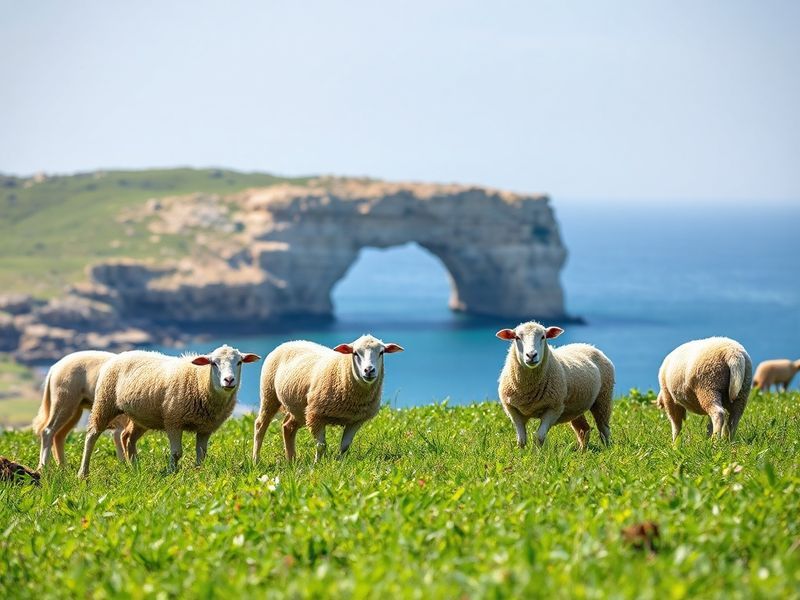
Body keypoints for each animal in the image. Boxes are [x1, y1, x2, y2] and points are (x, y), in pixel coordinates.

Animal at [77, 345, 260, 477]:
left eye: (239, 362)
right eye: (213, 363)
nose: (229, 380)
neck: (199, 381)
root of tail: (119, 356)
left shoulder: (205, 428)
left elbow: (201, 454)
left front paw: (199, 472)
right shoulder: (173, 421)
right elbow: (177, 453)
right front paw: (172, 473)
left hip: (141, 416)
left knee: (127, 437)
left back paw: (135, 469)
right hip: (104, 402)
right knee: (92, 435)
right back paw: (83, 474)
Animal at [252, 335, 403, 463]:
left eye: (381, 352)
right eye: (355, 353)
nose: (369, 370)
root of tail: (290, 342)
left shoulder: (356, 420)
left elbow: (345, 446)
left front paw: (340, 464)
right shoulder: (315, 415)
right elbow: (321, 445)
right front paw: (318, 465)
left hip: (301, 409)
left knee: (288, 426)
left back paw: (292, 461)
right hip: (269, 394)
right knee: (260, 425)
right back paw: (256, 460)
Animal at [495, 321, 614, 450]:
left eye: (543, 337)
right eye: (517, 337)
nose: (531, 355)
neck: (528, 390)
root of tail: (587, 345)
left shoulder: (554, 408)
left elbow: (539, 436)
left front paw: (537, 453)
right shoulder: (512, 410)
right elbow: (521, 440)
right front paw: (522, 454)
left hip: (603, 398)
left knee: (604, 429)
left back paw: (607, 449)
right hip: (575, 407)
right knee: (584, 429)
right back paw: (582, 451)